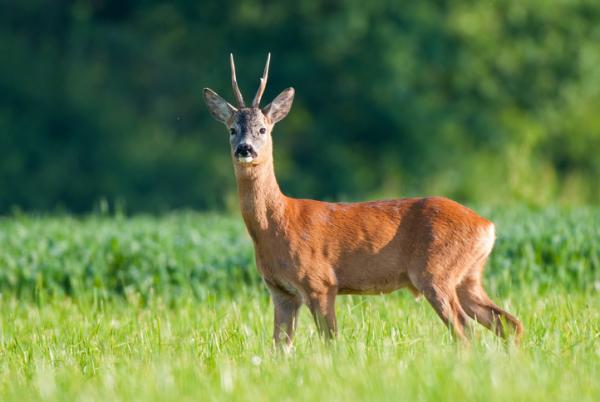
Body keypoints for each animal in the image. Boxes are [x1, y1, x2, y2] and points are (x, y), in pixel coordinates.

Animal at [204, 53, 524, 346]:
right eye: (232, 129)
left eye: (263, 129)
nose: (245, 149)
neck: (277, 224)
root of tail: (487, 226)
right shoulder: (281, 292)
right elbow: (280, 347)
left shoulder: (320, 282)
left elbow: (331, 340)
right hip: (468, 276)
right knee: (508, 322)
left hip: (436, 271)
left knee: (464, 329)